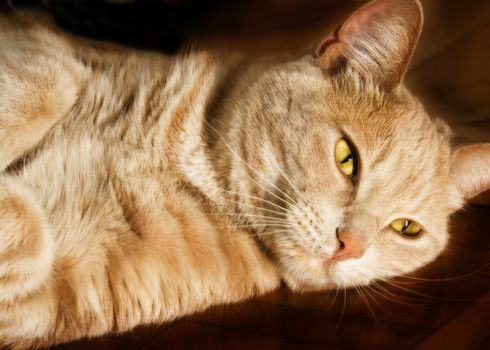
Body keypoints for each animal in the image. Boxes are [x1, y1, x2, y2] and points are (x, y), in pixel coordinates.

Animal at [0, 0, 490, 348]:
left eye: (406, 228)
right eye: (347, 158)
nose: (349, 246)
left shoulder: (51, 300)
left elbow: (27, 242)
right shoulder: (42, 46)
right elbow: (51, 83)